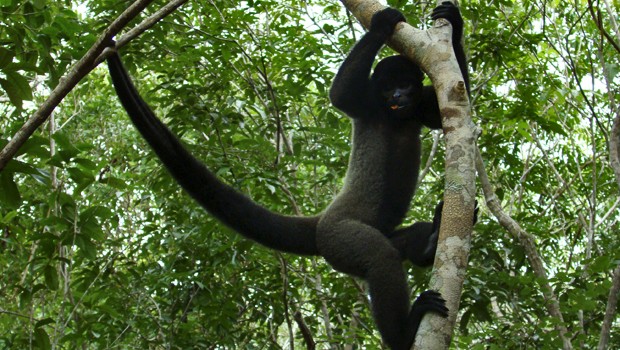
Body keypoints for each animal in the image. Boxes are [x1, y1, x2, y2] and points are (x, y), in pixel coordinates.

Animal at [106, 3, 468, 350]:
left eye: (404, 85)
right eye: (389, 88)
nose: (397, 97)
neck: (394, 115)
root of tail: (321, 223)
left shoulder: (423, 101)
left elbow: (453, 102)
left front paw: (454, 21)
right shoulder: (366, 103)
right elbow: (340, 95)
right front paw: (381, 25)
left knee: (405, 242)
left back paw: (429, 243)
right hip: (339, 238)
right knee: (380, 258)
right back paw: (403, 335)